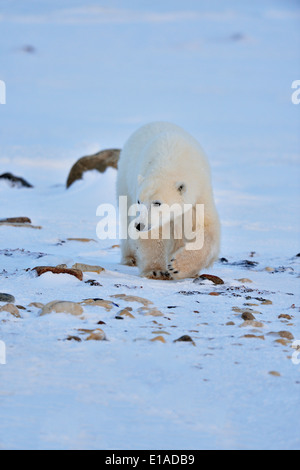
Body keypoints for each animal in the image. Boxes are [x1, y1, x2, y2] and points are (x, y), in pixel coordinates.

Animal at [117, 123, 220, 280]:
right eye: (139, 201)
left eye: (157, 202)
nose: (139, 225)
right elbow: (154, 233)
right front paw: (156, 271)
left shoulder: (200, 194)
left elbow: (206, 230)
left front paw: (176, 266)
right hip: (125, 182)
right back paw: (130, 258)